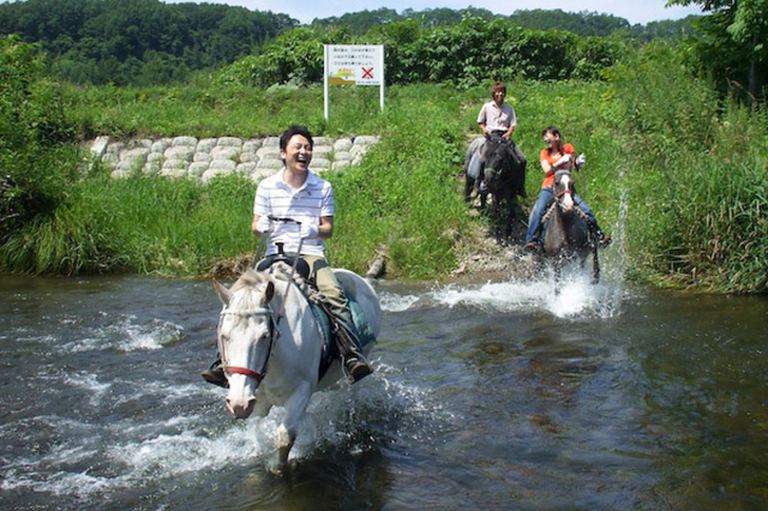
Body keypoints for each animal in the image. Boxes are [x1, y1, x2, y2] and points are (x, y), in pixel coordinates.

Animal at [213, 266, 380, 470]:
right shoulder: (257, 398)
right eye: (224, 335)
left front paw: (278, 466)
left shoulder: (301, 391)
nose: (239, 403)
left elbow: (285, 436)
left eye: (265, 336)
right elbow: (255, 429)